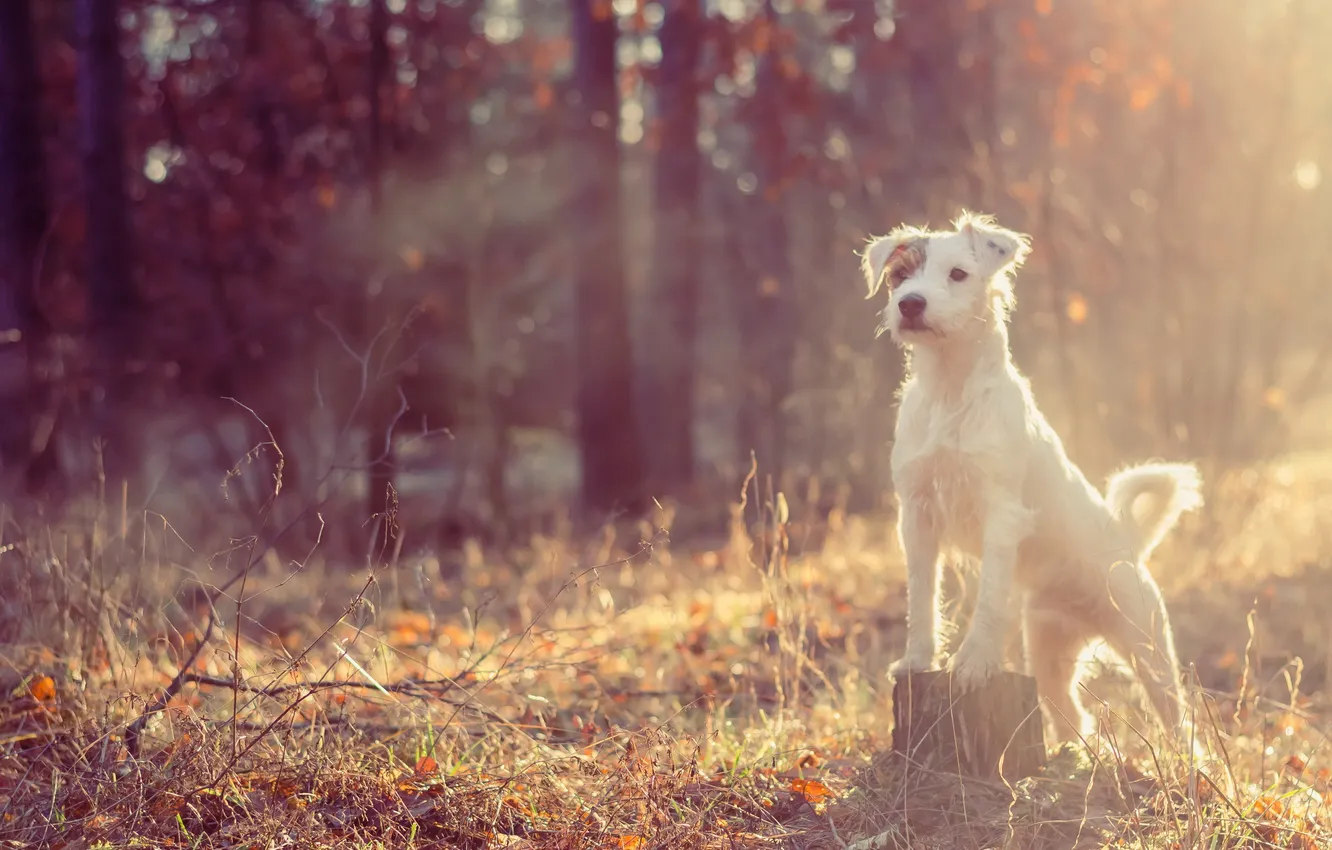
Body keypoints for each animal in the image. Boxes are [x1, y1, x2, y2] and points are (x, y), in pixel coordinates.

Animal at [868, 213, 1204, 746]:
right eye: (901, 275)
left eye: (958, 274)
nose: (910, 304)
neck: (950, 391)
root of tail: (1129, 543)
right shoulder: (917, 516)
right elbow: (921, 598)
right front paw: (918, 659)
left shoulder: (1001, 513)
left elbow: (988, 599)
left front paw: (974, 663)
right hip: (1048, 650)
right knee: (1071, 715)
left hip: (1148, 648)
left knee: (1179, 724)